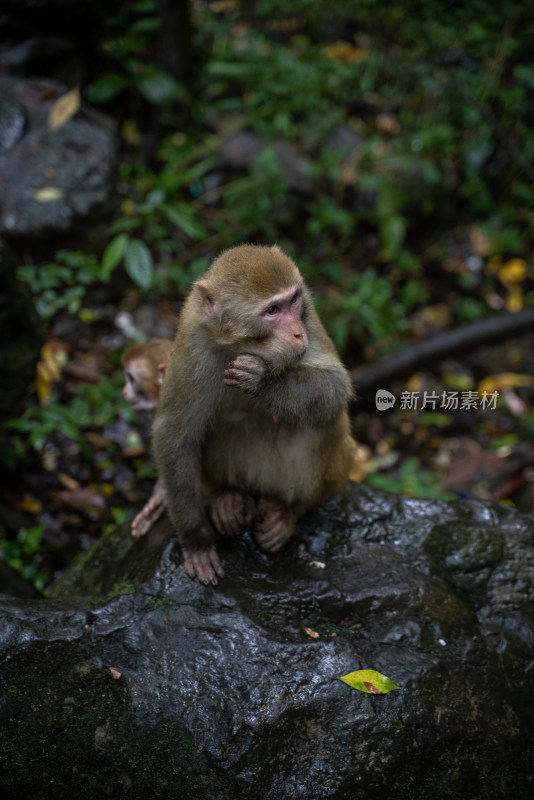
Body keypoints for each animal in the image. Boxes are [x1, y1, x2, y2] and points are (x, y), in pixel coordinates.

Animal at [153, 241, 358, 584]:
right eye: (272, 311)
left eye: (293, 300)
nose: (298, 334)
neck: (239, 347)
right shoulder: (194, 338)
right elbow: (174, 433)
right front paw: (196, 540)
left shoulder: (309, 314)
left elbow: (336, 386)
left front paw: (264, 381)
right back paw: (227, 498)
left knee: (323, 421)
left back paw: (287, 513)